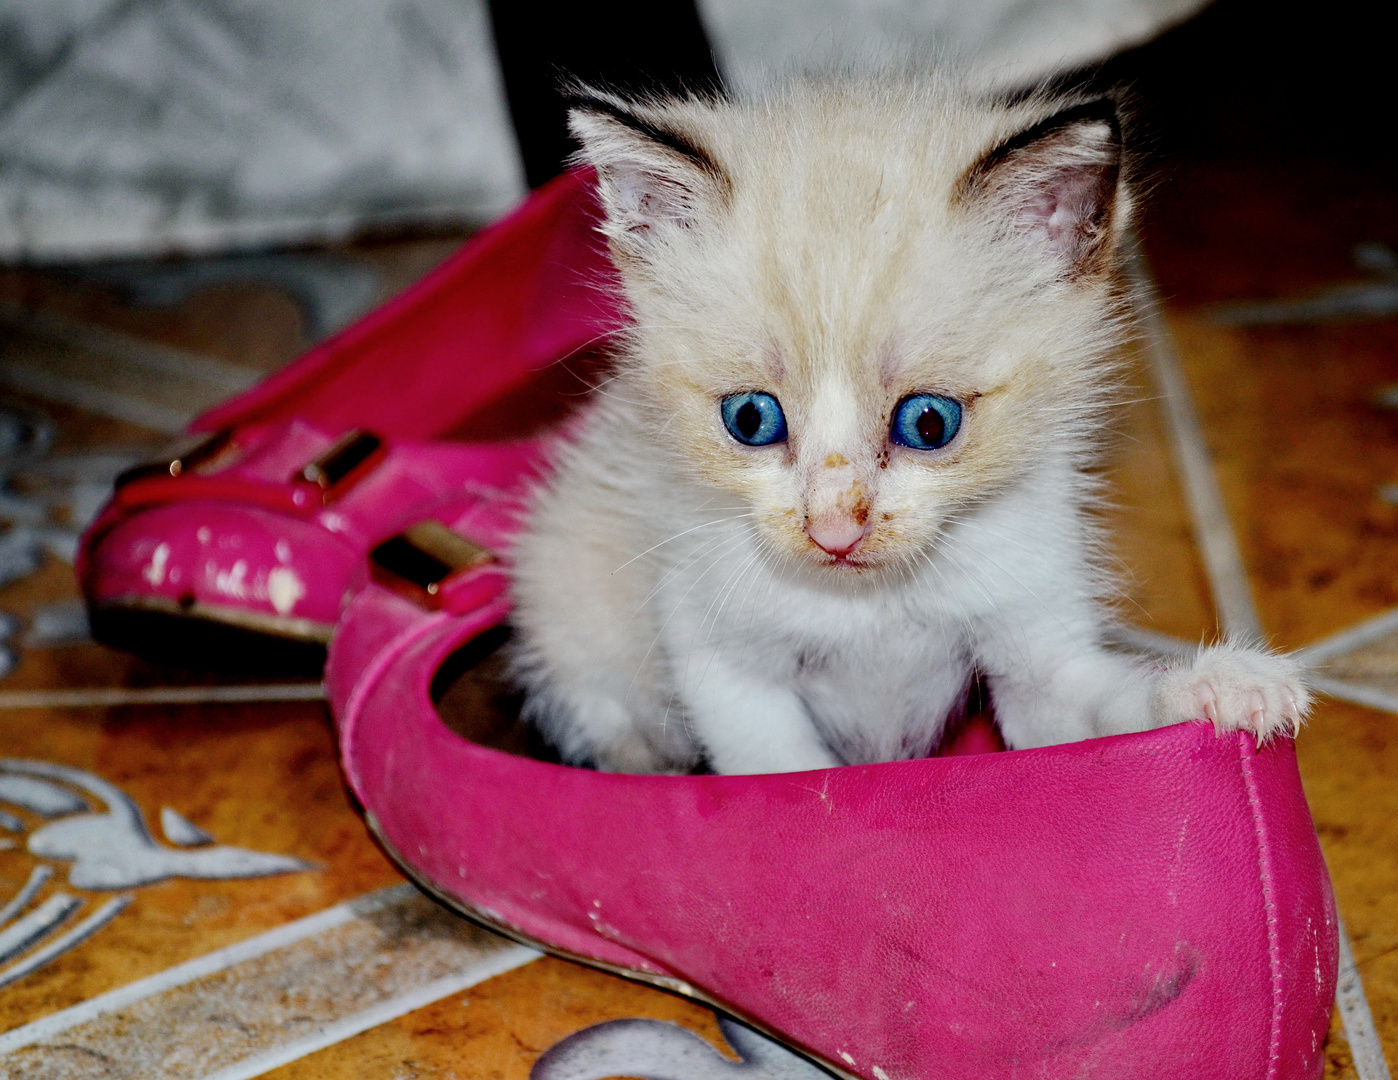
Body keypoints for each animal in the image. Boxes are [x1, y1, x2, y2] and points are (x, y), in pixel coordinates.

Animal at [506, 71, 1308, 771]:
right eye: (750, 418)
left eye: (929, 423)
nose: (833, 530)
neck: (873, 605)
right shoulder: (724, 665)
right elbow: (782, 772)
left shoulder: (1037, 648)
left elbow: (1097, 700)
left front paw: (1221, 686)